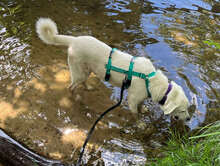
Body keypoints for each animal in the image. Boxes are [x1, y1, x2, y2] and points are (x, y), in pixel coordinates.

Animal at [35, 17, 190, 122]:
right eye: (182, 110)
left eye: (188, 109)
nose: (189, 119)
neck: (150, 79)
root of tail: (74, 40)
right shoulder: (132, 100)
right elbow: (135, 115)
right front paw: (140, 124)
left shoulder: (140, 97)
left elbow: (141, 106)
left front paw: (144, 110)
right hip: (79, 72)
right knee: (71, 87)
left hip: (86, 71)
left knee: (81, 82)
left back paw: (88, 88)